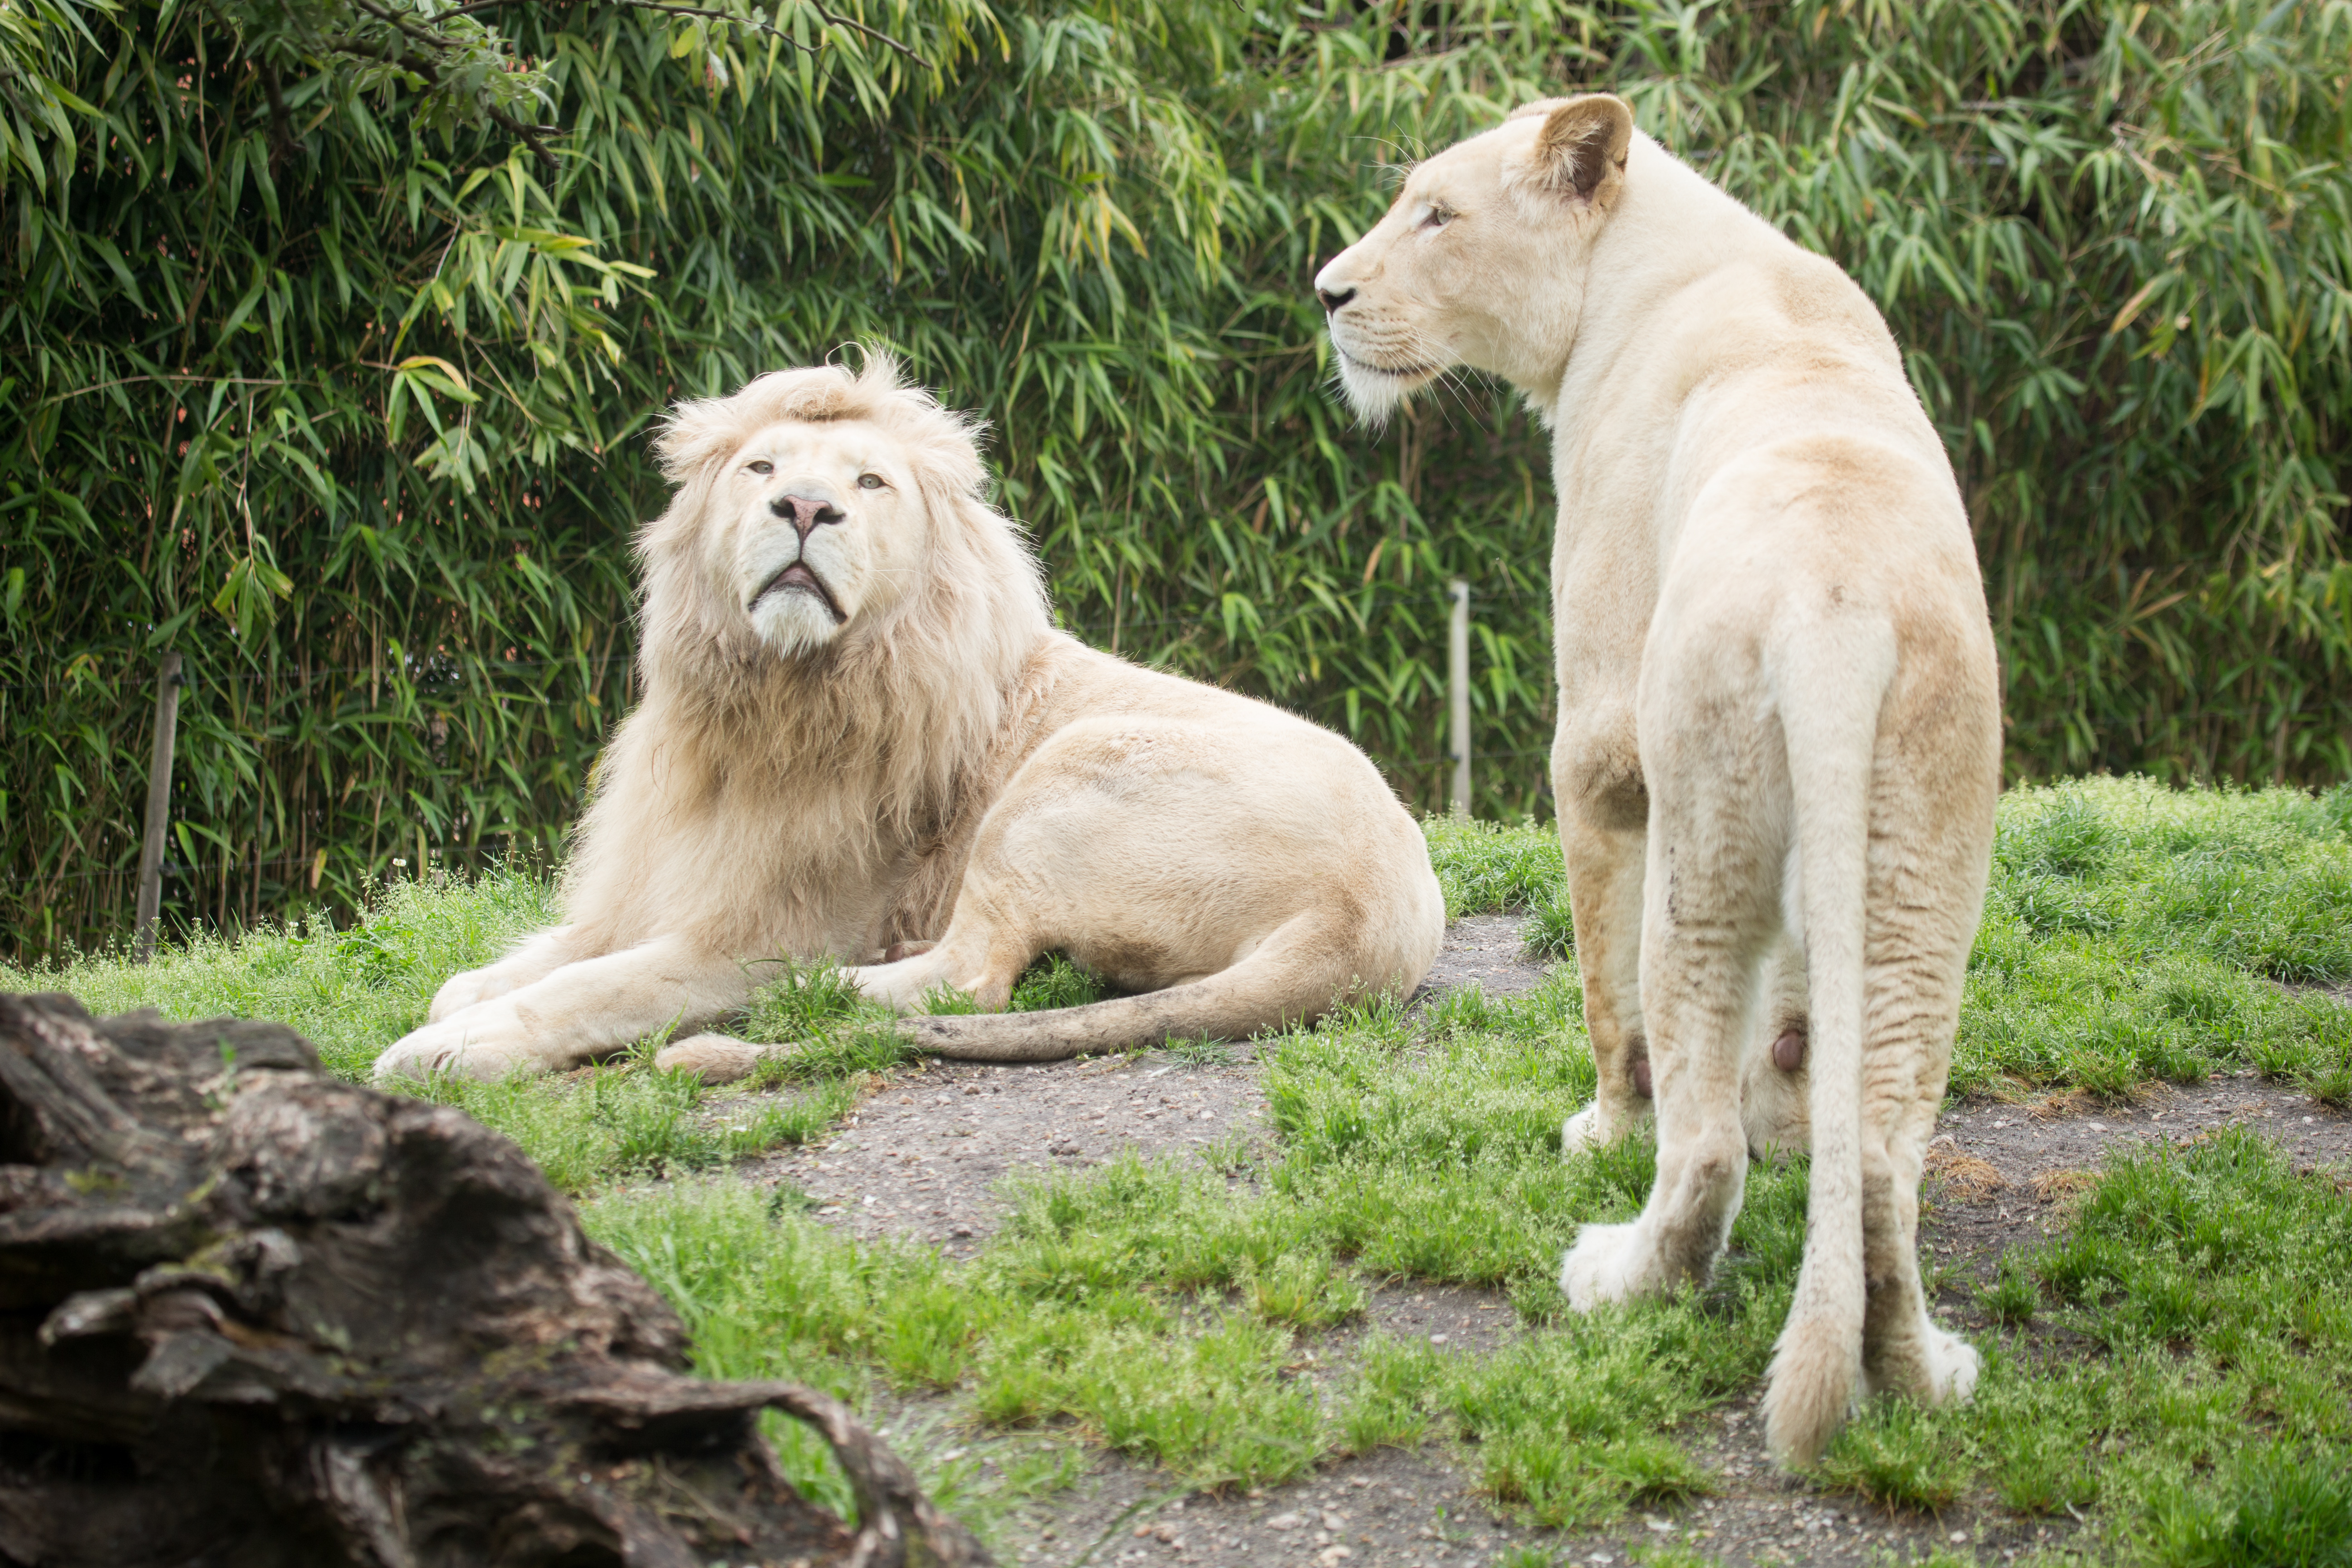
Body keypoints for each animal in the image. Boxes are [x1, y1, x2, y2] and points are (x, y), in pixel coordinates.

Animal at [376, 355, 1439, 1086]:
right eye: (760, 466)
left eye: (868, 483)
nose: (804, 507)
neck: (767, 700)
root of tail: (1364, 923)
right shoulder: (652, 883)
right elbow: (529, 960)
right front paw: (465, 998)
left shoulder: (756, 928)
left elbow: (589, 986)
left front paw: (447, 1048)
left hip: (1066, 769)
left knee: (964, 980)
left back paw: (809, 996)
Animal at [1317, 98, 1994, 1476]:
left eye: (1438, 214)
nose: (1328, 293)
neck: (1644, 263)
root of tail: (1835, 604)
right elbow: (1794, 1025)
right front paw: (1789, 1095)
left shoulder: (1597, 737)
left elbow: (1599, 991)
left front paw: (1600, 1131)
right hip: (1922, 872)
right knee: (1880, 1164)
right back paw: (1924, 1372)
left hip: (1704, 821)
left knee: (1699, 1140)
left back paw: (1620, 1275)